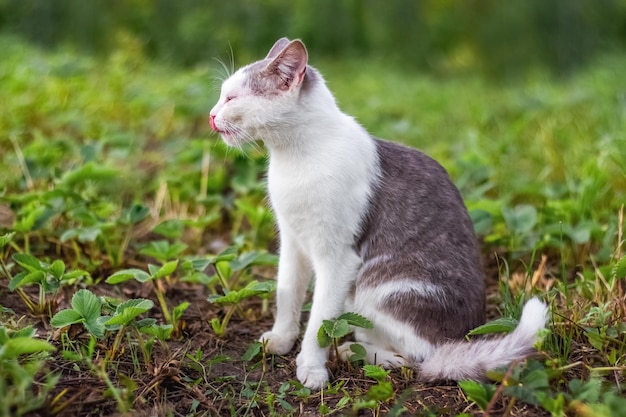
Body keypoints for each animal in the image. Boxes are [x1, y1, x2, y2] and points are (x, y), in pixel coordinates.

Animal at [207, 37, 544, 388]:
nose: (211, 116)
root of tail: (460, 339)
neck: (294, 158)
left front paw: (312, 368)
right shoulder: (292, 240)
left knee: (415, 359)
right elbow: (287, 295)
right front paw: (281, 339)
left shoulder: (338, 258)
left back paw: (351, 352)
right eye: (222, 94)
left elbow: (319, 324)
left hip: (377, 288)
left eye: (232, 98)